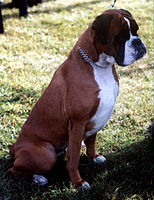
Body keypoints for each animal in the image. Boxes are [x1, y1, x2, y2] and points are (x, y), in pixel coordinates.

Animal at [8, 8, 147, 188]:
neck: (98, 65)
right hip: (45, 153)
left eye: (136, 31)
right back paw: (38, 178)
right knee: (14, 169)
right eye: (121, 36)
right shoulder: (78, 122)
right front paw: (78, 182)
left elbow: (92, 141)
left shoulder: (96, 118)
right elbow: (73, 159)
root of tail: (15, 148)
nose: (138, 42)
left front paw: (94, 157)